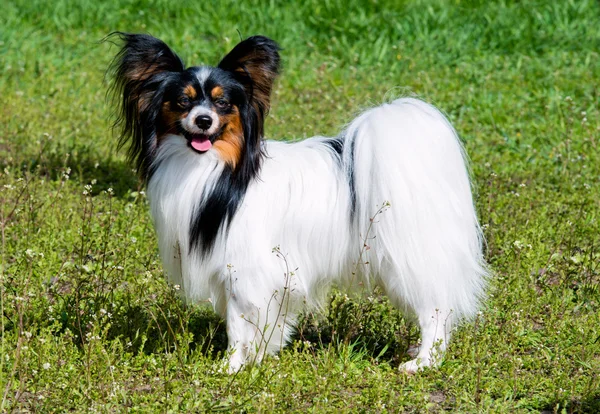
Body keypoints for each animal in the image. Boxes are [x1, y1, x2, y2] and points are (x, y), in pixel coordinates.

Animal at [109, 34, 488, 374]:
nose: (204, 121)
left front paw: (231, 366)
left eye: (222, 104)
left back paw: (423, 362)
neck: (217, 170)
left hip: (406, 260)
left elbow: (237, 324)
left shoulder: (242, 270)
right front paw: (260, 355)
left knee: (435, 308)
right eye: (183, 102)